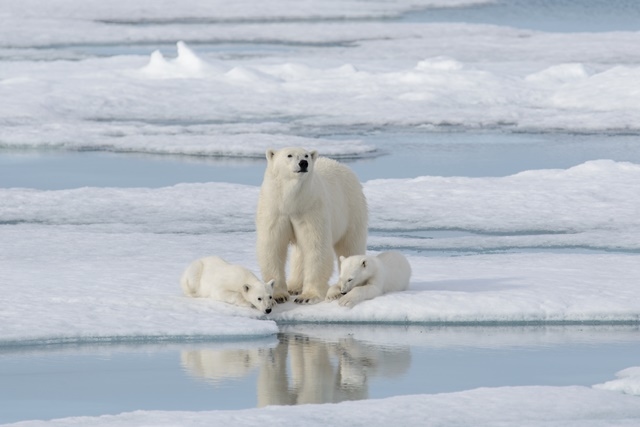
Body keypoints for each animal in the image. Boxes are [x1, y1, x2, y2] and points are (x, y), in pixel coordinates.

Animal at [254, 147, 364, 304]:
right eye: (289, 155)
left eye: (306, 155)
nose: (303, 163)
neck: (292, 202)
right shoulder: (275, 210)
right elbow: (273, 246)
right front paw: (279, 295)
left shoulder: (311, 209)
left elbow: (316, 247)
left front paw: (307, 296)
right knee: (300, 253)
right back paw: (294, 286)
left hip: (352, 209)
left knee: (350, 245)